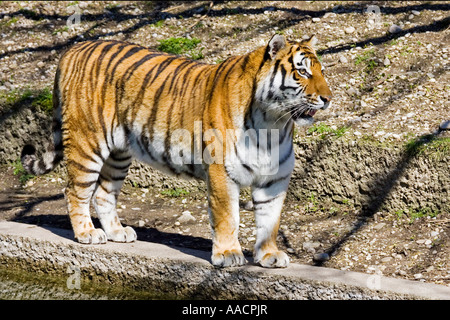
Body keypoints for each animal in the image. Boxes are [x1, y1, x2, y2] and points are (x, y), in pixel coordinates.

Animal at [21, 34, 330, 268]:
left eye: (322, 72)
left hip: (119, 154)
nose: (328, 98)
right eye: (303, 71)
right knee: (75, 191)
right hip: (88, 144)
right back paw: (87, 233)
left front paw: (269, 255)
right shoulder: (222, 173)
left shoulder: (274, 179)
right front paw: (228, 254)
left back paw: (118, 232)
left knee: (103, 193)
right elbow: (227, 217)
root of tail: (72, 49)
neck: (273, 122)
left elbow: (270, 221)